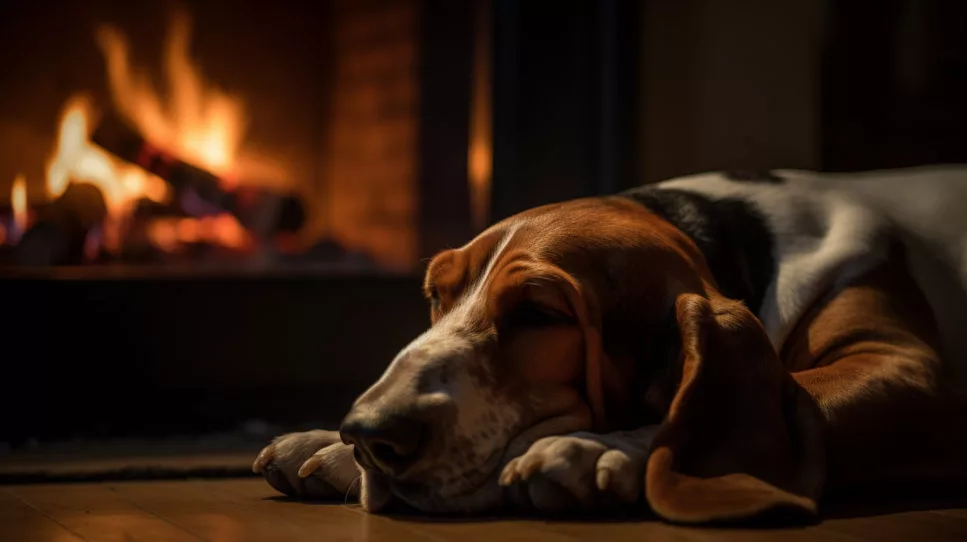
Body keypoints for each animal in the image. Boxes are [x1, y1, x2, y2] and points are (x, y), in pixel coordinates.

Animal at [251, 167, 967, 528]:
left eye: (539, 313)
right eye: (436, 294)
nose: (370, 434)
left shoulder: (906, 368)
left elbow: (788, 397)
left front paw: (602, 450)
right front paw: (326, 446)